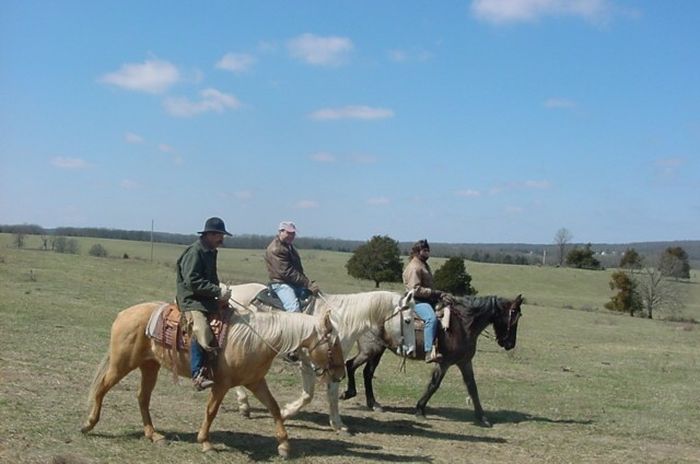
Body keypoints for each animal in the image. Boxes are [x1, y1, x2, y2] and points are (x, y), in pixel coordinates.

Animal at [82, 300, 344, 456]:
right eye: (334, 343)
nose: (340, 373)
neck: (256, 340)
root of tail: (124, 314)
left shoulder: (255, 382)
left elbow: (274, 408)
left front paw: (284, 445)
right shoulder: (221, 384)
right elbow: (211, 411)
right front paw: (205, 442)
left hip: (149, 366)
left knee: (142, 398)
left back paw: (154, 435)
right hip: (122, 364)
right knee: (102, 388)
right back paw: (88, 424)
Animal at [223, 282, 416, 436]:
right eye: (407, 320)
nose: (411, 350)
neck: (339, 322)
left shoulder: (335, 365)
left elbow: (332, 394)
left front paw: (338, 425)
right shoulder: (308, 364)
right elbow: (308, 395)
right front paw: (284, 413)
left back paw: (244, 406)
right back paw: (244, 405)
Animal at [342, 296, 524, 426]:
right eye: (514, 316)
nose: (510, 344)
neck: (464, 325)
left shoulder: (464, 362)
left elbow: (472, 387)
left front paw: (482, 417)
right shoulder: (444, 363)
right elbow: (434, 385)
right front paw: (419, 410)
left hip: (378, 350)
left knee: (367, 372)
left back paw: (373, 403)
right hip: (370, 349)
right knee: (351, 365)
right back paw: (349, 393)